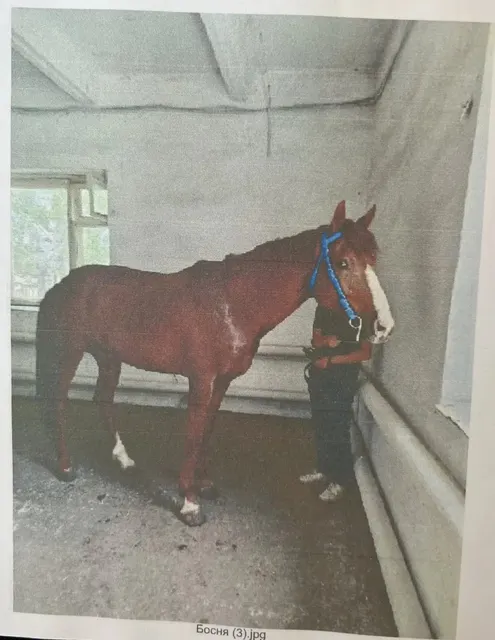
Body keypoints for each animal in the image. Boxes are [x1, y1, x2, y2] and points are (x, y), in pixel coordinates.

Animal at [35, 200, 394, 526]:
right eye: (344, 262)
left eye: (374, 259)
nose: (383, 326)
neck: (231, 305)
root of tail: (60, 285)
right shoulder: (201, 380)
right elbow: (194, 435)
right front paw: (189, 504)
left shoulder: (222, 382)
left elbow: (207, 430)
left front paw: (204, 484)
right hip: (70, 353)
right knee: (58, 402)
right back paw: (65, 467)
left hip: (109, 357)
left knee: (103, 400)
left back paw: (124, 460)